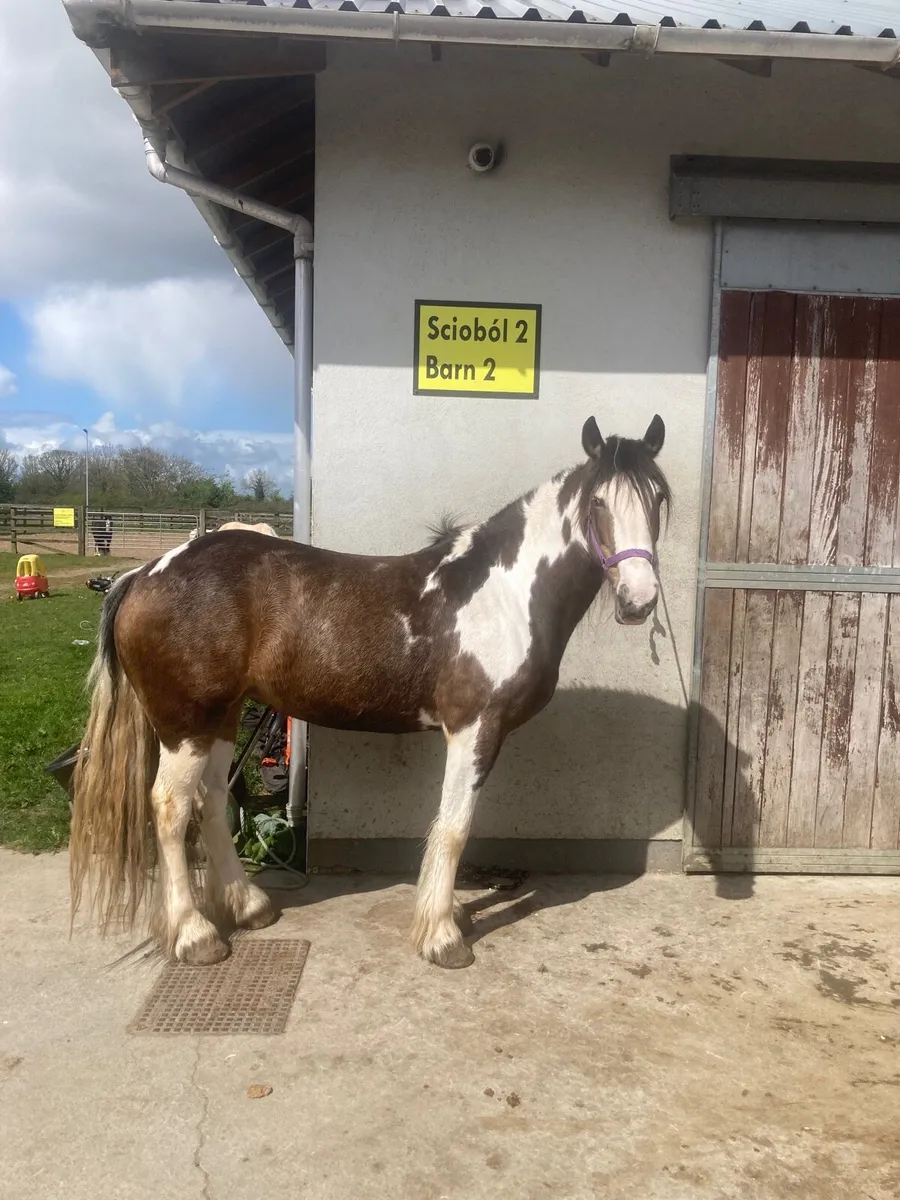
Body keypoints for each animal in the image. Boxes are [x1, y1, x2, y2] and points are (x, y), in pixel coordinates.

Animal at [70, 415, 670, 970]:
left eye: (659, 498)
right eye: (599, 502)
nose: (639, 600)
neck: (504, 595)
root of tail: (145, 572)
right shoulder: (475, 727)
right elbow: (455, 827)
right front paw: (442, 936)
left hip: (220, 716)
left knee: (212, 800)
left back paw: (249, 905)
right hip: (186, 722)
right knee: (171, 808)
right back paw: (196, 936)